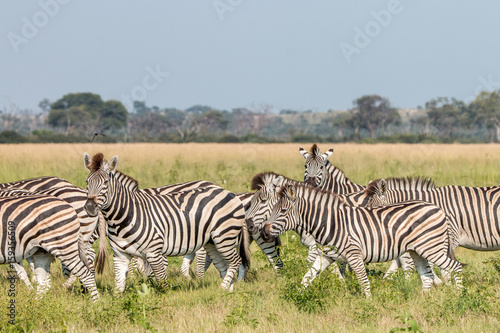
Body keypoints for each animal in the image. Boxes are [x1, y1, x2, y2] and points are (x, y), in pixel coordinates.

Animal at [84, 152, 254, 292]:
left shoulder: (155, 250)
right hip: (212, 241)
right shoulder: (120, 255)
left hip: (224, 236)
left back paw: (220, 287)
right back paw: (226, 291)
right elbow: (120, 287)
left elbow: (161, 283)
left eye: (105, 183)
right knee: (224, 265)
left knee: (235, 261)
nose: (90, 207)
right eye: (87, 182)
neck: (122, 217)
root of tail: (228, 192)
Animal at [260, 184, 462, 296]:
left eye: (283, 211)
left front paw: (369, 304)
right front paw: (296, 297)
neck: (331, 223)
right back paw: (422, 301)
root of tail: (438, 208)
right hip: (418, 251)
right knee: (427, 277)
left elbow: (364, 281)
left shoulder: (354, 254)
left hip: (432, 249)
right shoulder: (327, 255)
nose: (264, 232)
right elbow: (306, 277)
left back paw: (459, 296)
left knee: (455, 266)